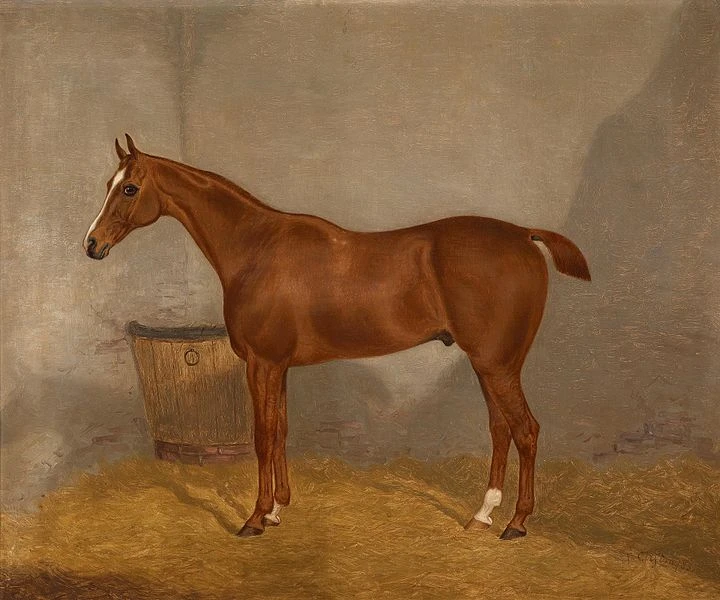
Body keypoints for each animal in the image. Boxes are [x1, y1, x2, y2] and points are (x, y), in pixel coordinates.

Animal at [84, 134, 590, 540]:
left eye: (129, 188)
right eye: (109, 183)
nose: (91, 244)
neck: (254, 248)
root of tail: (523, 235)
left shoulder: (261, 363)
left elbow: (263, 436)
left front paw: (255, 518)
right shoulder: (278, 366)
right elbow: (281, 431)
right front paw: (278, 510)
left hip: (496, 365)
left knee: (526, 431)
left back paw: (516, 524)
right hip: (489, 365)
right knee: (501, 429)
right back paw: (482, 515)